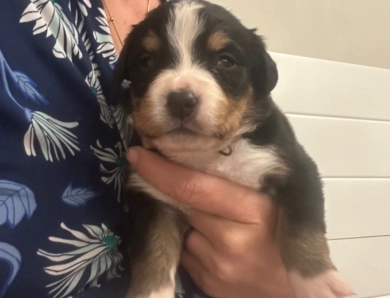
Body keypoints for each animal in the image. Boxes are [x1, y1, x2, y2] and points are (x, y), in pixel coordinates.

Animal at [115, 0, 354, 298]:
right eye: (146, 62)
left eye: (225, 61)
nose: (181, 100)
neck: (210, 154)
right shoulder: (150, 197)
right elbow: (153, 252)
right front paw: (151, 292)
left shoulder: (296, 169)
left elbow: (303, 229)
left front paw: (319, 284)